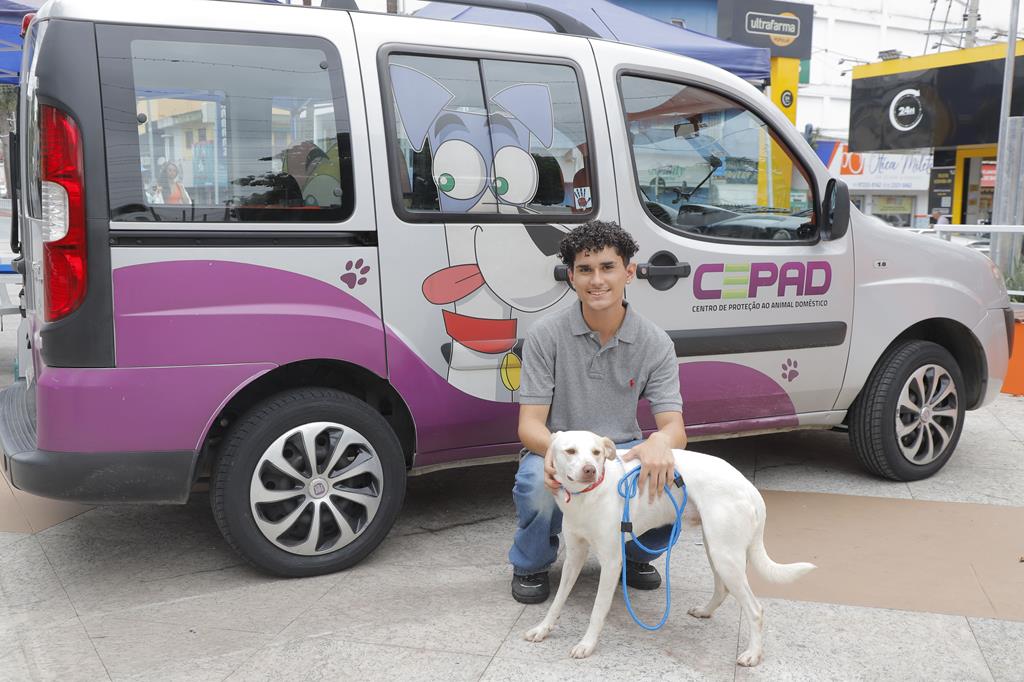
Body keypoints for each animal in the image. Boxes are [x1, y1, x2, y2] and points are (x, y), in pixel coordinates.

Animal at [524, 430, 811, 663]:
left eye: (596, 453)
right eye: (570, 451)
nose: (590, 470)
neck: (587, 497)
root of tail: (750, 487)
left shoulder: (612, 561)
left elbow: (597, 610)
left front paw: (587, 644)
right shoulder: (574, 555)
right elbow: (557, 601)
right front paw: (543, 628)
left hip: (725, 555)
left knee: (755, 609)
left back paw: (753, 653)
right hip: (716, 548)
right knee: (722, 589)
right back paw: (705, 611)